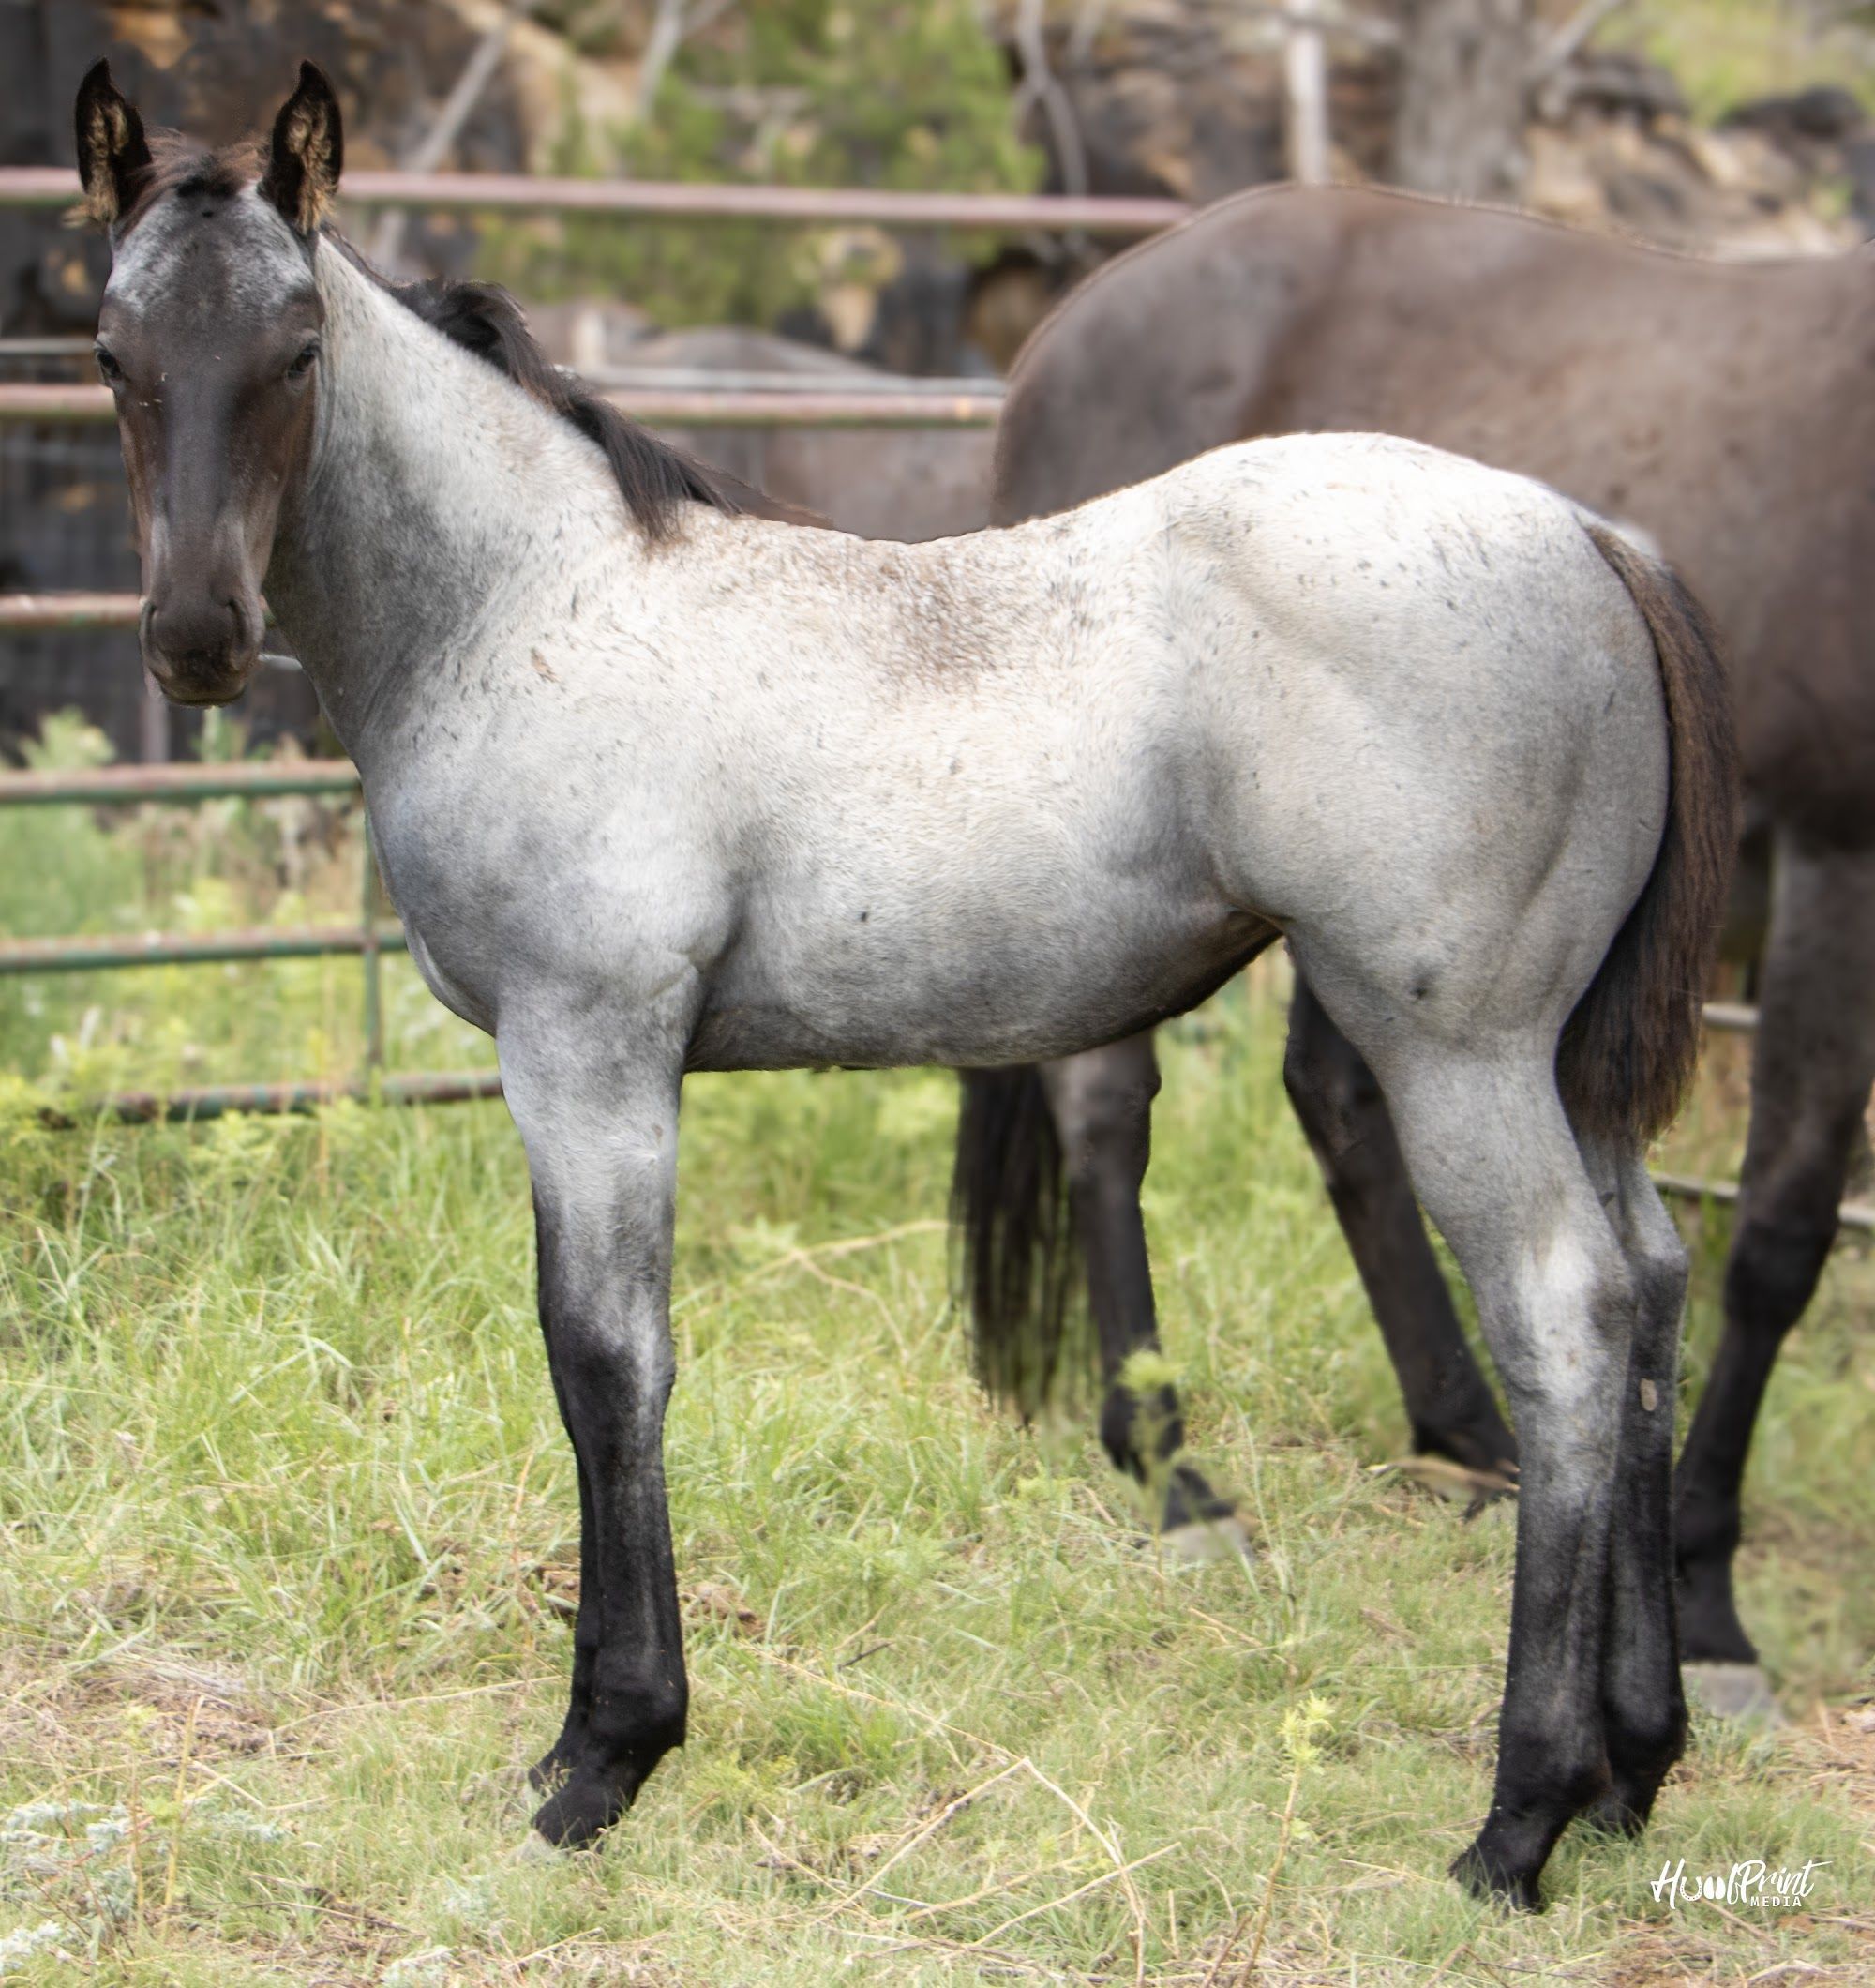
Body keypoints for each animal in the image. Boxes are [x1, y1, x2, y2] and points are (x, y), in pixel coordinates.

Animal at [77, 61, 1735, 1907]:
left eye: (296, 349)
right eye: (113, 350)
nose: (197, 637)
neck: (524, 607)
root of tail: (1586, 532)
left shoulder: (587, 1051)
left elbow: (606, 1363)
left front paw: (604, 1757)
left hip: (1462, 1055)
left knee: (1569, 1327)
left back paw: (1518, 1820)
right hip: (1573, 1068)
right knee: (1656, 1287)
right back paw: (1635, 1766)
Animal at [952, 183, 1874, 1720]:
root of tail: (1077, 319)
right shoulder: (1834, 860)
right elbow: (1783, 1229)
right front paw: (1710, 1603)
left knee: (1339, 1106)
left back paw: (1470, 1437)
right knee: (1110, 1109)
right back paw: (1174, 1473)